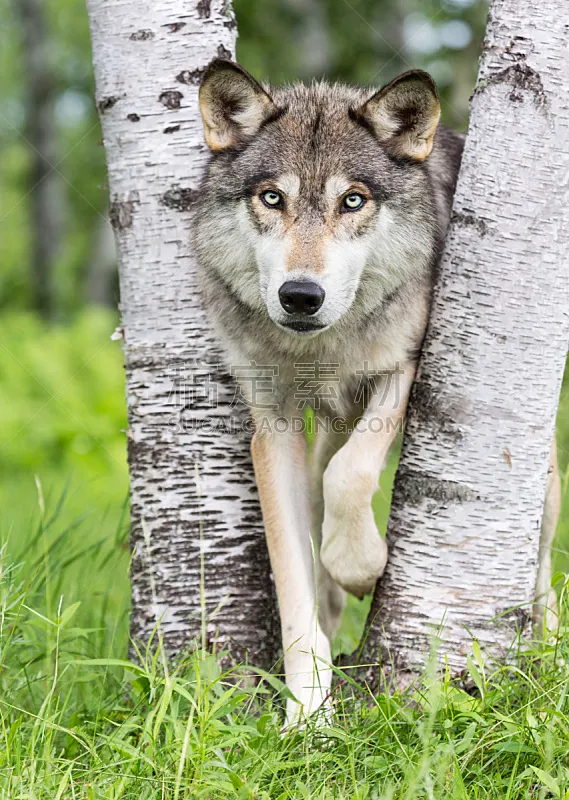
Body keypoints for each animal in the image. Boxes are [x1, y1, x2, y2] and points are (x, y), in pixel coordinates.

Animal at [192, 59, 560, 728]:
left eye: (353, 200)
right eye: (272, 197)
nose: (300, 296)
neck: (322, 351)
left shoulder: (405, 367)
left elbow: (355, 473)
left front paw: (363, 567)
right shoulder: (273, 430)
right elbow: (293, 584)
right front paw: (307, 714)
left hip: (541, 493)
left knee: (542, 576)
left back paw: (544, 660)